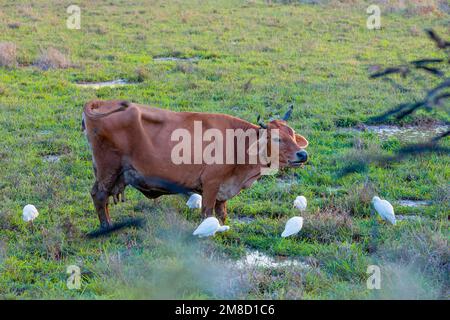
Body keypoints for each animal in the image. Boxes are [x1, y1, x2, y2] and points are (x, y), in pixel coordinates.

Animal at [82, 100, 308, 228]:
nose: (302, 154)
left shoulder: (223, 188)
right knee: (99, 195)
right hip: (108, 169)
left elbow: (222, 213)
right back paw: (106, 226)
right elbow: (207, 213)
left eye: (293, 134)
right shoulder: (211, 183)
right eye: (277, 138)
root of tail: (101, 102)